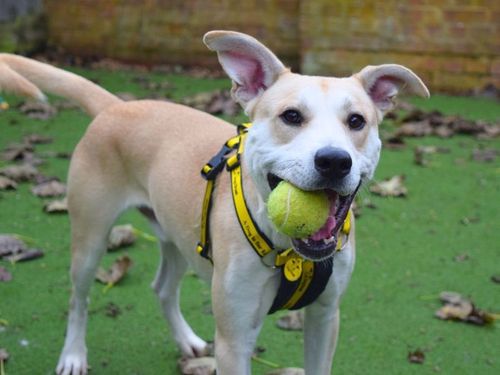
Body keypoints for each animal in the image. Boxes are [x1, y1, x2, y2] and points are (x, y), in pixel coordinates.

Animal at [0, 30, 430, 374]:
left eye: (357, 121)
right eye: (291, 116)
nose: (334, 161)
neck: (291, 253)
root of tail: (117, 105)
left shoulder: (325, 319)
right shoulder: (234, 341)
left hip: (176, 236)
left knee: (162, 287)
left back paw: (187, 341)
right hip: (90, 237)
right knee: (79, 298)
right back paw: (73, 356)